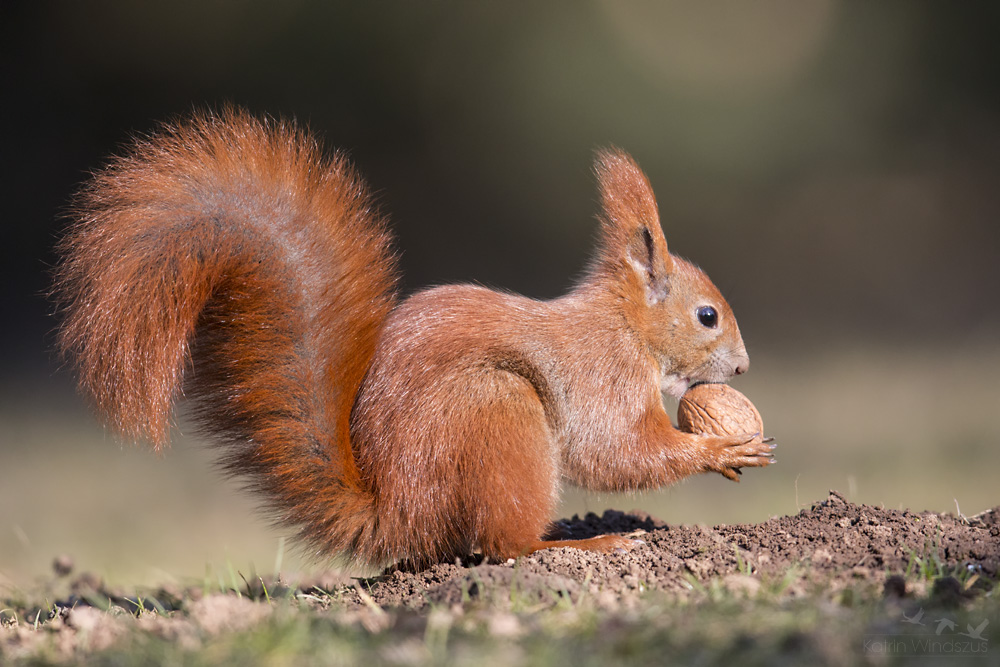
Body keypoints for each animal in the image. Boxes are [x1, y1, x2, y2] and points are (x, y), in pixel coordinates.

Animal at [52, 108, 772, 568]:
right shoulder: (604, 376)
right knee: (504, 545)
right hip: (498, 413)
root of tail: (398, 513)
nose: (742, 368)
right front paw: (721, 447)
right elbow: (617, 452)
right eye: (707, 316)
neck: (627, 328)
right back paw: (580, 545)